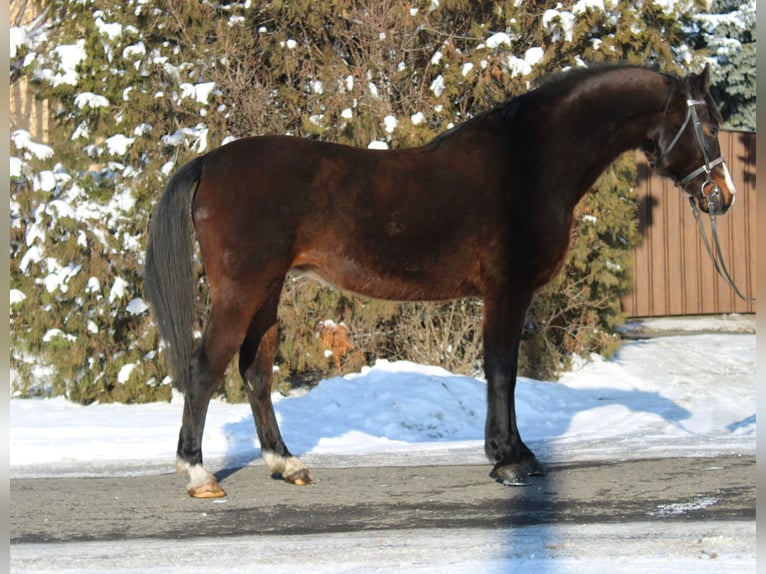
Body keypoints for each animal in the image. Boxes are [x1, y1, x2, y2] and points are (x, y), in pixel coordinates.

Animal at [144, 64, 736, 498]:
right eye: (708, 128)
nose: (721, 197)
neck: (528, 161)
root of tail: (211, 162)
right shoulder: (508, 290)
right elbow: (502, 371)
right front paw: (511, 461)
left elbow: (501, 371)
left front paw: (513, 454)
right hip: (241, 290)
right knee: (204, 368)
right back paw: (197, 475)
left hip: (267, 292)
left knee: (256, 373)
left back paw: (285, 465)